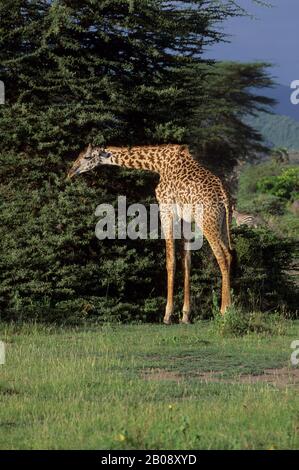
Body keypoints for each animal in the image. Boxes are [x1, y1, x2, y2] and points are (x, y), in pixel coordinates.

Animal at [68, 144, 234, 324]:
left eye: (87, 157)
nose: (70, 172)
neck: (159, 164)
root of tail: (225, 198)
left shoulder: (166, 209)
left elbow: (170, 261)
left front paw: (167, 315)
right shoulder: (185, 217)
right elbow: (187, 261)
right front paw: (185, 316)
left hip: (207, 223)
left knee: (222, 257)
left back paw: (224, 310)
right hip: (222, 224)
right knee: (229, 255)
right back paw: (229, 308)